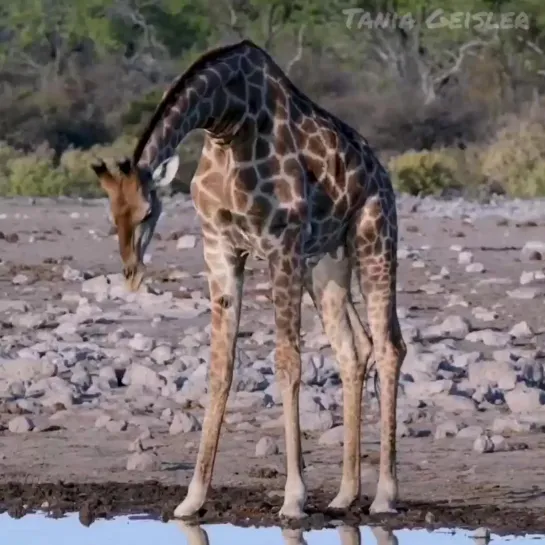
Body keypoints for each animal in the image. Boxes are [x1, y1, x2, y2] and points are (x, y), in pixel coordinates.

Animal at [90, 38, 404, 520]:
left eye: (146, 212)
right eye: (113, 216)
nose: (131, 272)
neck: (227, 123)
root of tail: (382, 174)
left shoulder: (282, 245)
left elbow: (288, 362)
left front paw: (294, 498)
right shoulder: (219, 247)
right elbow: (220, 367)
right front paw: (192, 497)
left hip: (374, 239)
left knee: (388, 347)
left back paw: (385, 495)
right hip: (326, 265)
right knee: (354, 350)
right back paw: (345, 494)